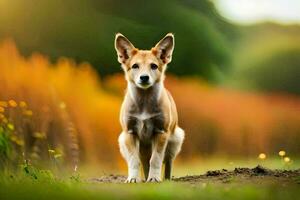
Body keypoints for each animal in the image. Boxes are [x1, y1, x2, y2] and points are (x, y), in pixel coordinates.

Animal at [115, 32, 184, 183]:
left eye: (153, 66)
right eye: (135, 66)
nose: (144, 77)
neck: (144, 102)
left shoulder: (161, 132)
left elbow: (156, 160)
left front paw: (154, 178)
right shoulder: (130, 133)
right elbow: (134, 161)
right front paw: (133, 179)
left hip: (175, 140)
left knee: (167, 163)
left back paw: (166, 179)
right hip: (123, 141)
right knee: (143, 162)